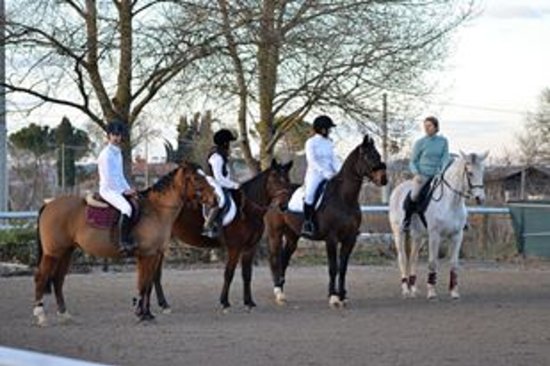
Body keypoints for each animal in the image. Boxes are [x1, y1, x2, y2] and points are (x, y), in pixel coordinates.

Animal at [31, 162, 218, 324]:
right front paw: (141, 314)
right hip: (53, 253)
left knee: (58, 280)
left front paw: (147, 313)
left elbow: (147, 284)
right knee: (41, 277)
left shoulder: (155, 255)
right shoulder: (147, 255)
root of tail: (49, 204)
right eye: (196, 178)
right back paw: (41, 315)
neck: (157, 210)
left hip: (66, 252)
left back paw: (64, 314)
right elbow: (144, 284)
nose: (215, 199)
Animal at [152, 159, 294, 310]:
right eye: (274, 179)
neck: (248, 210)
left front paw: (249, 302)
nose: (284, 206)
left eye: (287, 180)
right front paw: (224, 302)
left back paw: (163, 303)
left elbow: (247, 274)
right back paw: (162, 303)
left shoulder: (250, 248)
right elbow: (229, 273)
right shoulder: (234, 248)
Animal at [264, 136, 388, 308]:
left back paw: (281, 292)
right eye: (368, 156)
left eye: (378, 155)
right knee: (275, 258)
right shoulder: (331, 239)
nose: (383, 179)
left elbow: (343, 268)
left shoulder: (350, 239)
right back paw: (278, 292)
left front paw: (342, 296)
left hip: (292, 236)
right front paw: (333, 297)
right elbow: (333, 267)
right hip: (275, 234)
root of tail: (276, 197)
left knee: (285, 259)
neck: (344, 198)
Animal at [390, 150, 490, 298]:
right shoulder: (435, 236)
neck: (451, 202)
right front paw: (431, 292)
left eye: (482, 172)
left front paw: (454, 292)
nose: (480, 198)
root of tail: (397, 189)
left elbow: (454, 263)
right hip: (399, 232)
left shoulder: (457, 236)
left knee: (413, 258)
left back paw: (413, 288)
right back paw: (406, 290)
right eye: (470, 173)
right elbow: (432, 262)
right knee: (402, 257)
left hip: (419, 236)